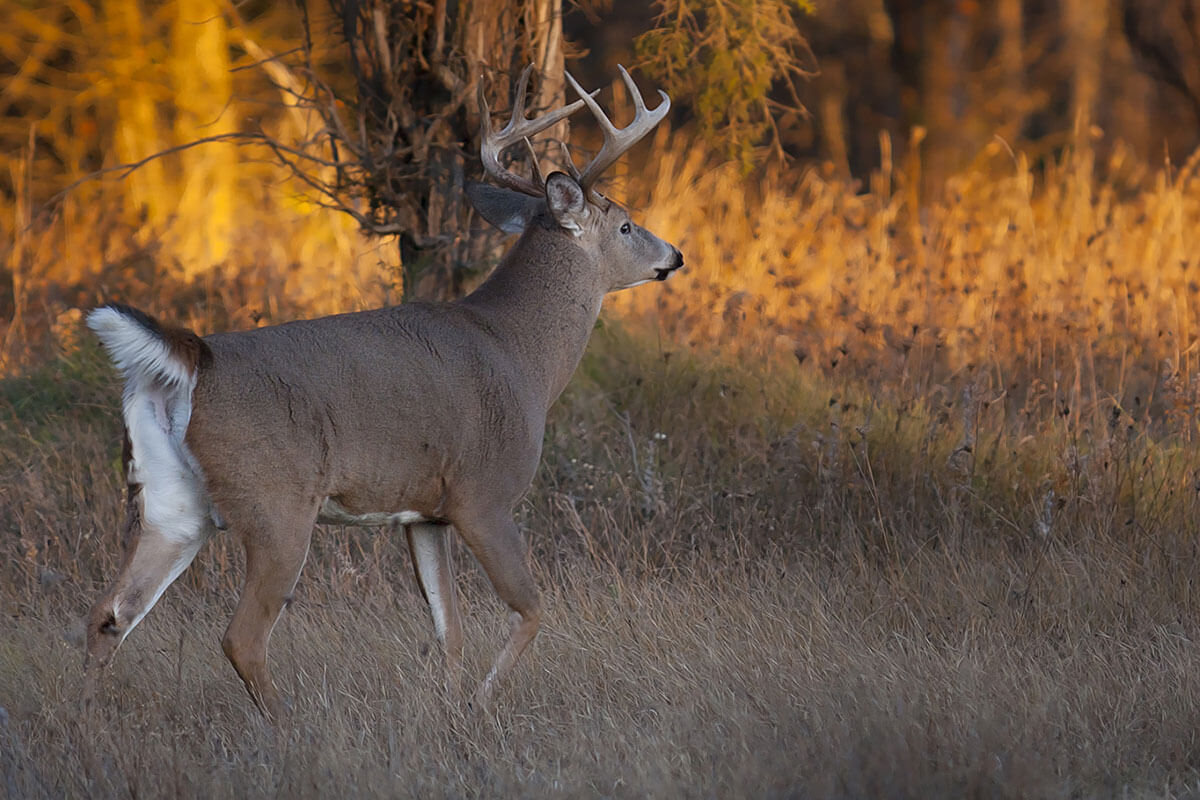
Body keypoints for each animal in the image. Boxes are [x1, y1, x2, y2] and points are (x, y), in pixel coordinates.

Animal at [83, 65, 681, 714]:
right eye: (626, 224)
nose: (675, 255)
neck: (523, 354)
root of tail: (193, 360)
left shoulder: (424, 513)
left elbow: (449, 627)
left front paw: (449, 709)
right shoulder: (483, 493)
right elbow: (531, 610)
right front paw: (480, 702)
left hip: (169, 502)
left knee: (108, 614)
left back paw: (85, 719)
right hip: (276, 501)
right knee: (240, 636)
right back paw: (289, 723)